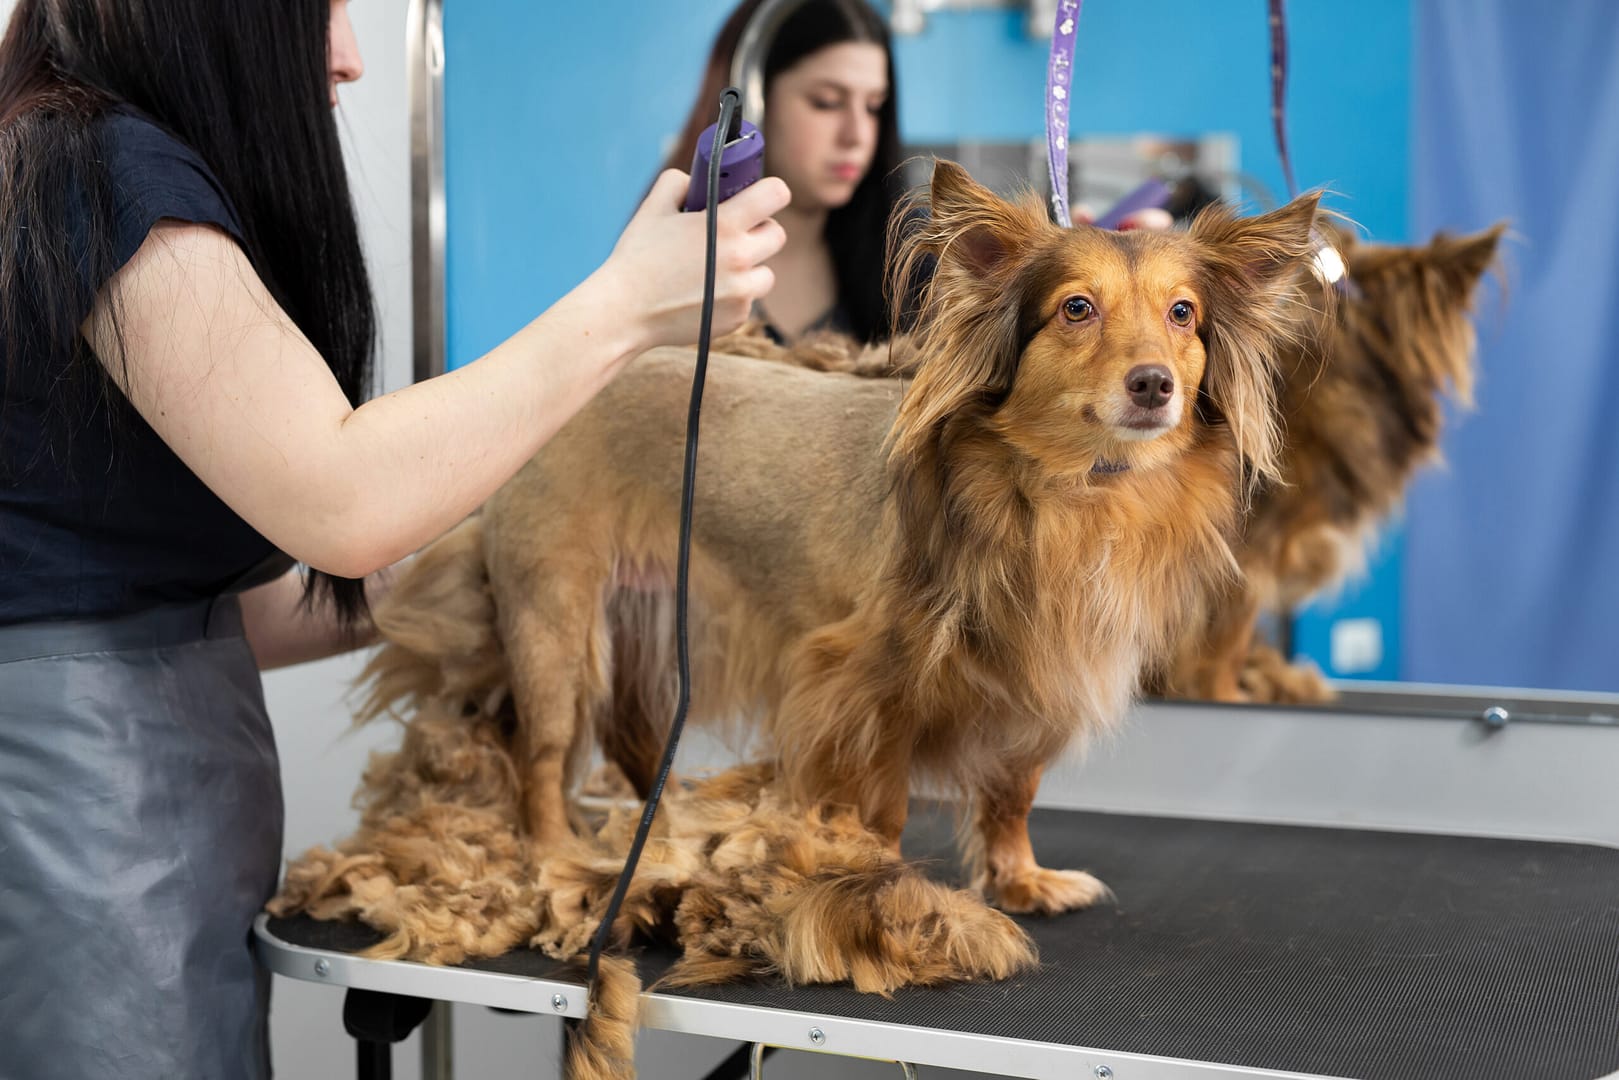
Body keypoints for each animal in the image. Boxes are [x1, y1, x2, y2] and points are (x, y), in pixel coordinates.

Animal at [482, 162, 1327, 913]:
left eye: (1182, 314)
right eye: (1076, 309)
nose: (1154, 384)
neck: (1069, 491)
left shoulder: (1033, 682)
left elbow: (1012, 794)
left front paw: (1019, 879)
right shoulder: (866, 687)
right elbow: (881, 801)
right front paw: (876, 882)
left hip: (650, 622)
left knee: (631, 737)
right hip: (555, 629)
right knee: (541, 757)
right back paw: (553, 853)